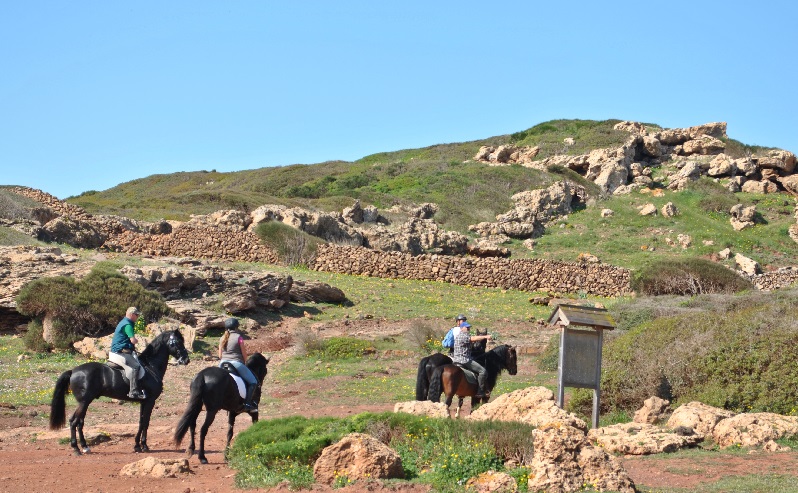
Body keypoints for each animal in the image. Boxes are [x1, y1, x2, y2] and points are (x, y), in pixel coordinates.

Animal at [50, 328, 193, 456]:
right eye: (178, 342)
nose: (186, 360)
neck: (151, 366)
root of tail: (73, 371)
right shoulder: (150, 401)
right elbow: (146, 422)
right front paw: (144, 446)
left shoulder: (144, 401)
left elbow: (141, 422)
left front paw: (137, 446)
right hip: (84, 402)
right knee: (74, 421)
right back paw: (76, 449)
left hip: (85, 402)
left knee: (80, 422)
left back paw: (85, 447)